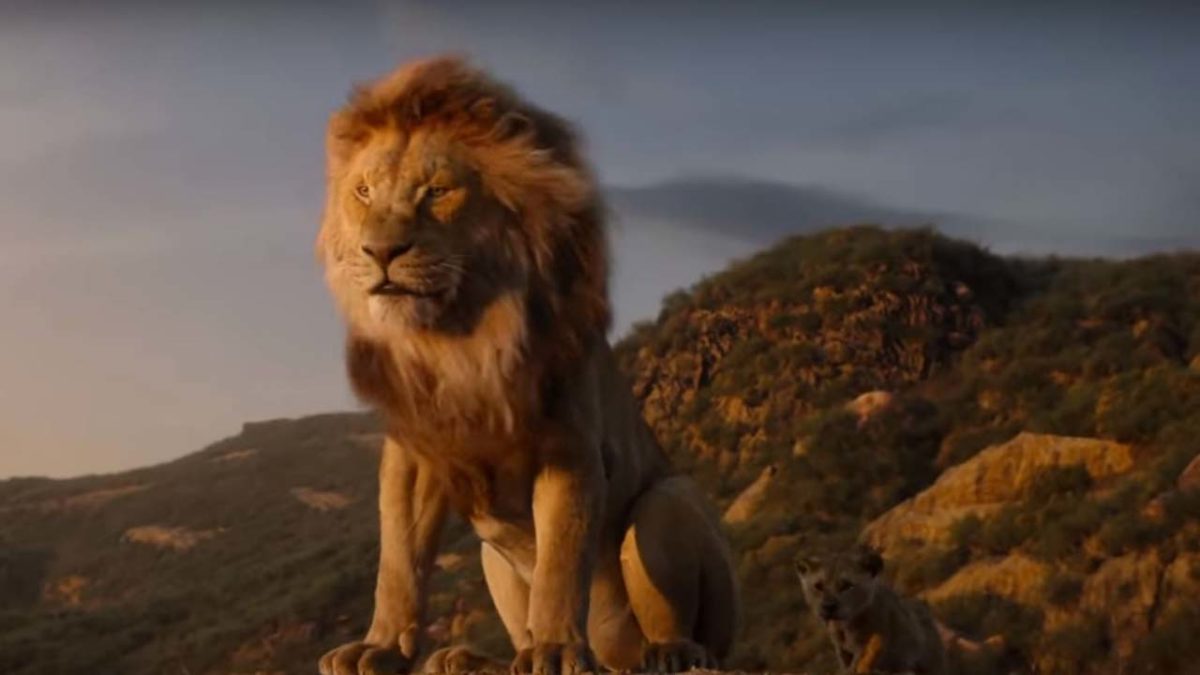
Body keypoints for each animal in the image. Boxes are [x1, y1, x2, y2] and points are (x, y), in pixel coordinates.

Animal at [314, 56, 739, 675]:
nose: (380, 253)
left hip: (669, 502)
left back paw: (669, 651)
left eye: (438, 191)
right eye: (364, 192)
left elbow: (561, 559)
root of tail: (614, 658)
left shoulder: (570, 448)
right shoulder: (413, 454)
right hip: (492, 556)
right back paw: (467, 659)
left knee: (683, 627)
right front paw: (381, 646)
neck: (456, 340)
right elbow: (398, 560)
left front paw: (557, 649)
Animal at [795, 544, 946, 674]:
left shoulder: (870, 643)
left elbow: (859, 663)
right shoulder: (842, 649)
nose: (828, 606)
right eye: (818, 586)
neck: (843, 626)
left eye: (847, 585)